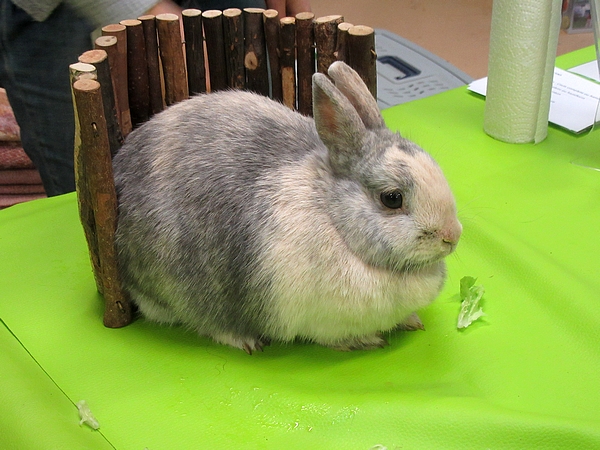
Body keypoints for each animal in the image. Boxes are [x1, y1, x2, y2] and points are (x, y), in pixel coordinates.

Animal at [112, 61, 462, 354]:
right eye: (392, 198)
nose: (452, 236)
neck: (334, 218)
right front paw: (366, 340)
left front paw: (412, 320)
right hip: (184, 288)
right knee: (208, 322)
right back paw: (247, 341)